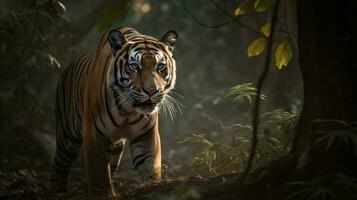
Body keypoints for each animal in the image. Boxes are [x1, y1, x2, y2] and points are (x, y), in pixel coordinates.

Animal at [49, 26, 177, 197]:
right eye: (134, 66)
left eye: (160, 66)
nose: (151, 91)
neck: (128, 110)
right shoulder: (94, 132)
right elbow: (99, 174)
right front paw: (104, 195)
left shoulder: (146, 133)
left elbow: (150, 165)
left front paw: (153, 188)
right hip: (67, 136)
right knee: (60, 166)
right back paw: (57, 192)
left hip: (115, 147)